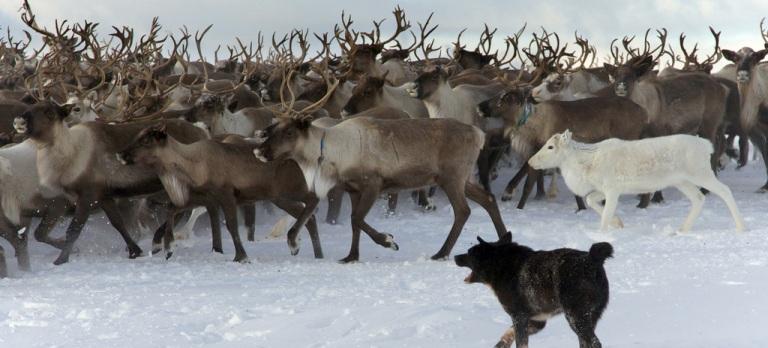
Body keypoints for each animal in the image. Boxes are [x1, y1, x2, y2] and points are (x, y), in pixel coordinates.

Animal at [456, 231, 612, 348]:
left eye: (469, 252)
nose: (455, 256)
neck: (500, 264)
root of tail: (592, 258)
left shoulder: (519, 317)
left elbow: (520, 342)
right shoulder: (537, 321)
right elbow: (510, 333)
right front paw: (502, 343)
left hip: (575, 317)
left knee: (594, 342)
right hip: (588, 318)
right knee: (585, 342)